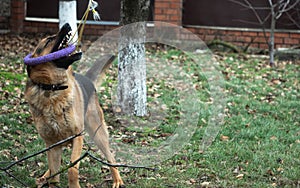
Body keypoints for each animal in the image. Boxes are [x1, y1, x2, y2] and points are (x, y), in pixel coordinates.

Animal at [24, 23, 124, 187]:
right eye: (48, 40)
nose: (66, 25)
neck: (52, 89)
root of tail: (88, 80)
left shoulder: (77, 136)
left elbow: (72, 168)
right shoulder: (52, 144)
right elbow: (55, 175)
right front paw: (51, 179)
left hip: (98, 134)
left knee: (111, 158)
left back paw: (117, 180)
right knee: (53, 167)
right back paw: (44, 176)